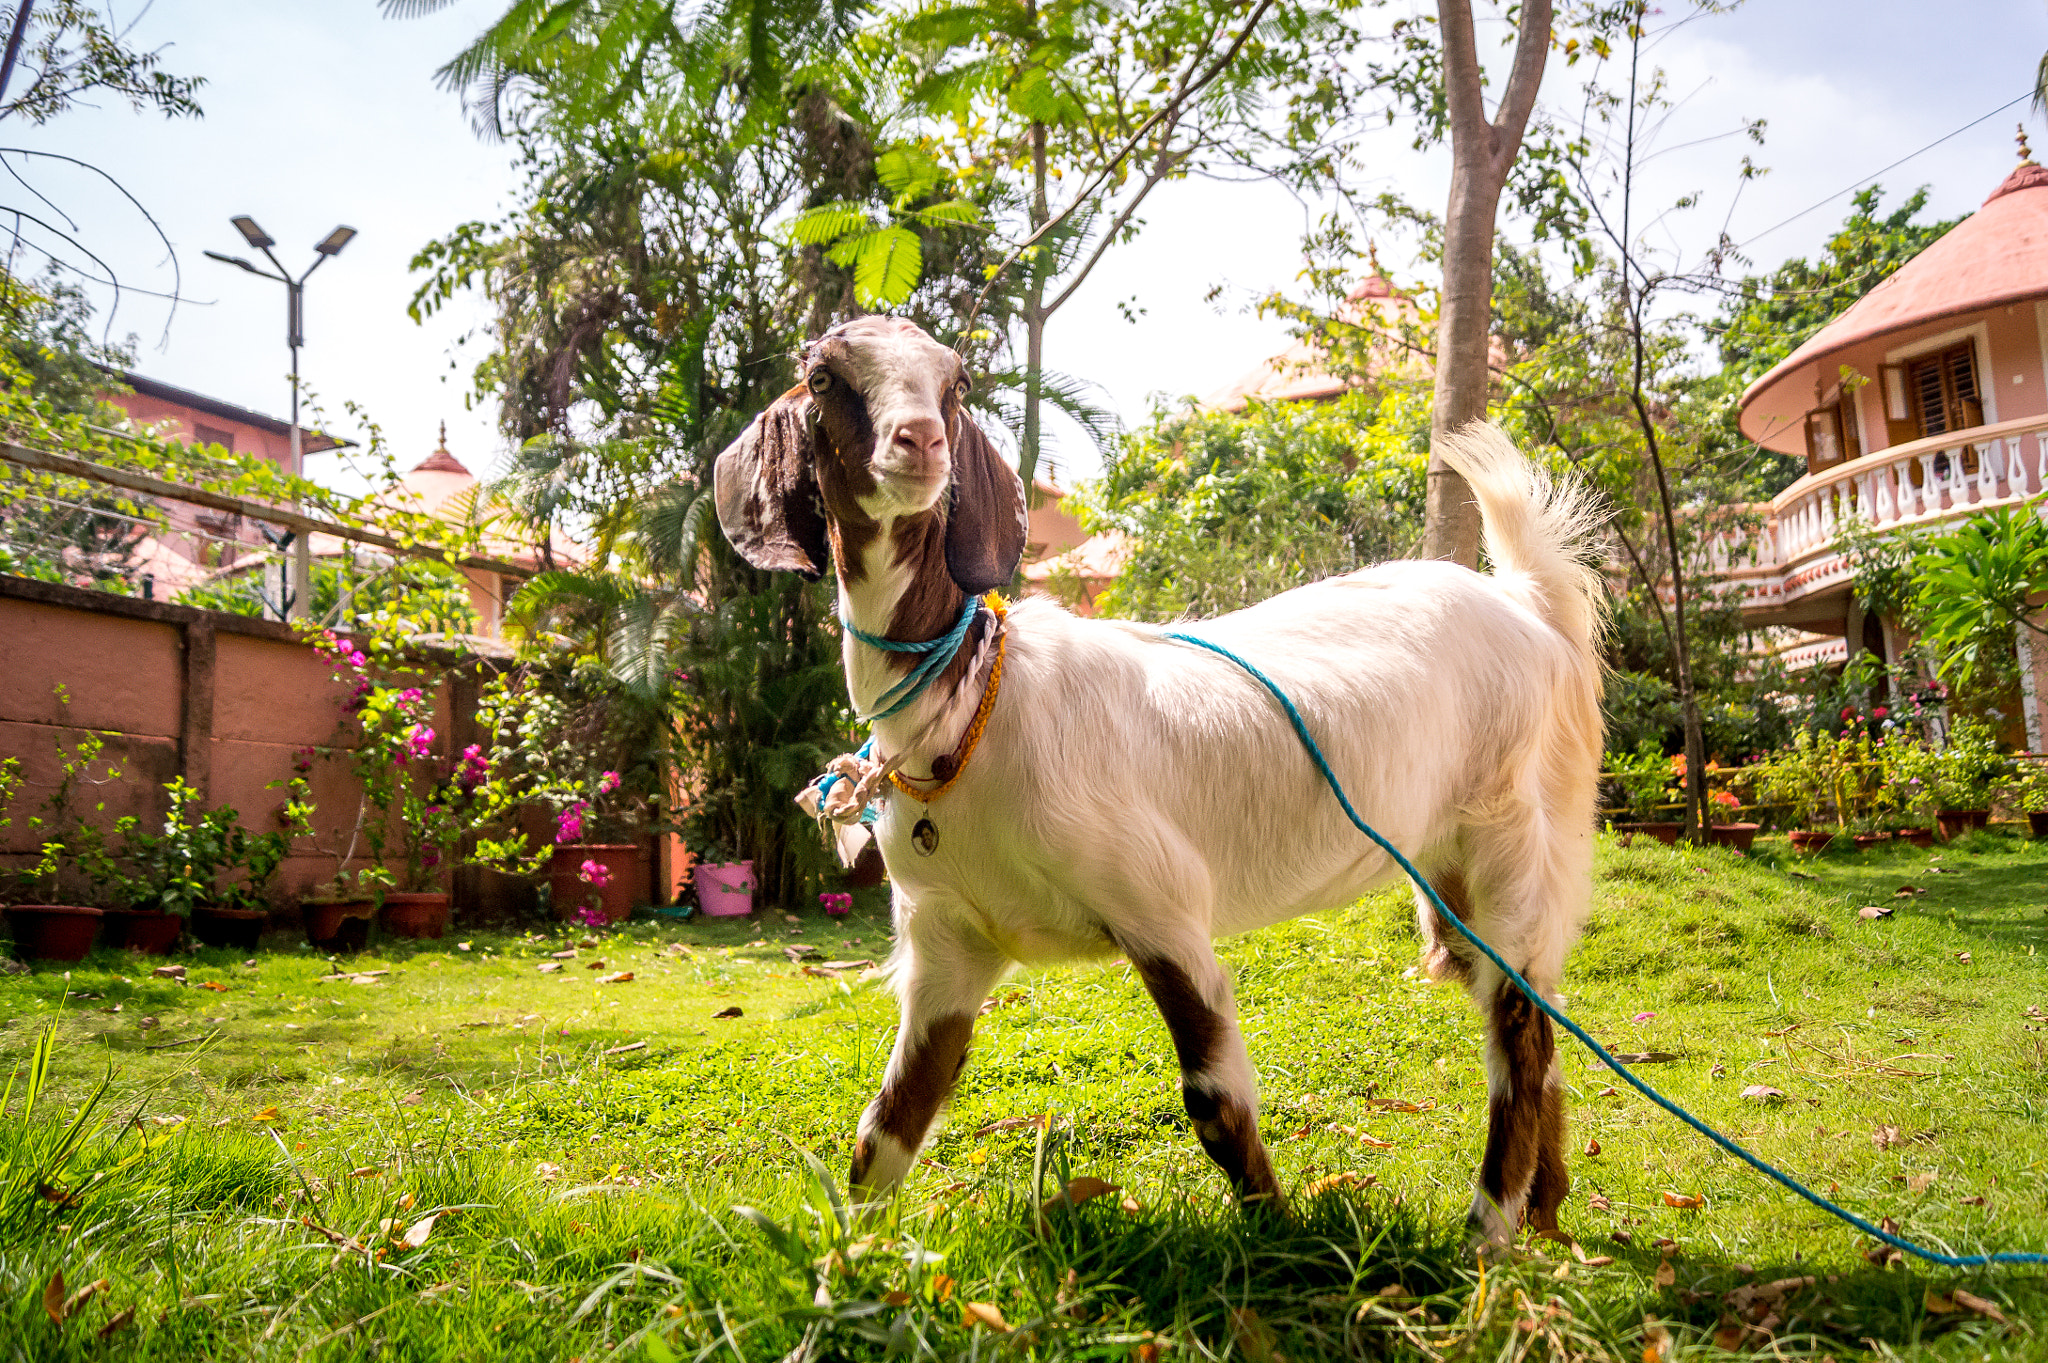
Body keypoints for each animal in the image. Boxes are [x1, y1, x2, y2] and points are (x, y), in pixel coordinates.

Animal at [712, 311, 1605, 1244]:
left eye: (957, 381)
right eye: (821, 377)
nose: (919, 441)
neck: (969, 711)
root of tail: (1533, 603)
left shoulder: (1159, 904)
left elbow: (1214, 1102)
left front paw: (1284, 1247)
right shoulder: (946, 943)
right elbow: (888, 1122)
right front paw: (845, 1260)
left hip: (1514, 830)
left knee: (1518, 1026)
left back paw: (1489, 1232)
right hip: (1447, 868)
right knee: (1529, 1005)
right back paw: (1544, 1214)